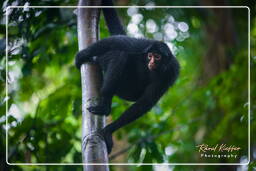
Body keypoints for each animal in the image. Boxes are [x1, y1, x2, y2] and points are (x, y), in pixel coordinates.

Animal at [75, 0, 179, 153]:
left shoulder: (171, 72)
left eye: (157, 57)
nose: (151, 62)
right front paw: (81, 56)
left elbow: (146, 102)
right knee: (120, 54)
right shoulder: (142, 46)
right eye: (150, 56)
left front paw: (109, 131)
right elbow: (117, 41)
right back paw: (105, 105)